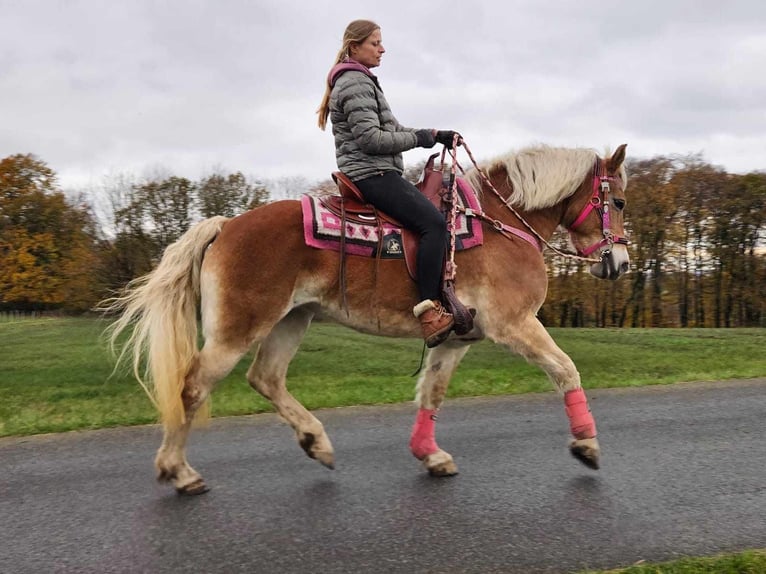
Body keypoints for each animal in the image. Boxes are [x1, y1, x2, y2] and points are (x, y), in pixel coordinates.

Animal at [105, 143, 632, 496]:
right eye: (620, 202)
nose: (621, 264)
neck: (501, 225)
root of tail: (226, 225)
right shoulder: (515, 324)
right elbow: (565, 370)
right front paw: (587, 445)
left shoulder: (455, 337)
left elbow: (432, 393)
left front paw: (430, 455)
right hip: (238, 329)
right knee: (193, 387)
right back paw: (180, 472)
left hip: (291, 320)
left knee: (266, 378)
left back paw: (315, 442)